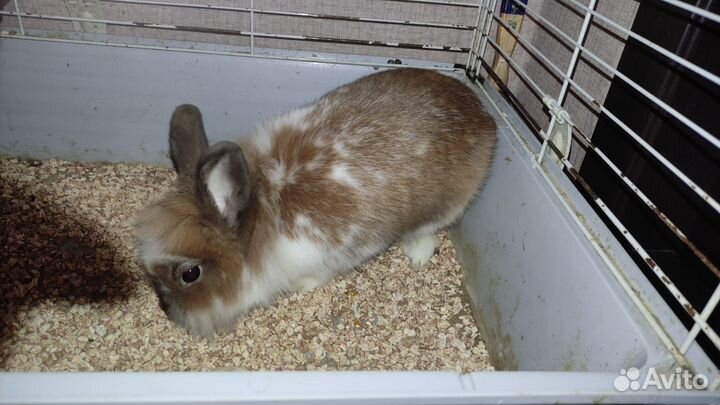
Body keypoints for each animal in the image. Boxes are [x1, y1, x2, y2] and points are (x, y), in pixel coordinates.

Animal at [135, 68, 497, 336]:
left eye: (190, 274)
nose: (166, 311)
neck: (263, 204)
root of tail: (484, 117)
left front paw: (301, 287)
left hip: (448, 204)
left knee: (429, 230)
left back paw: (419, 254)